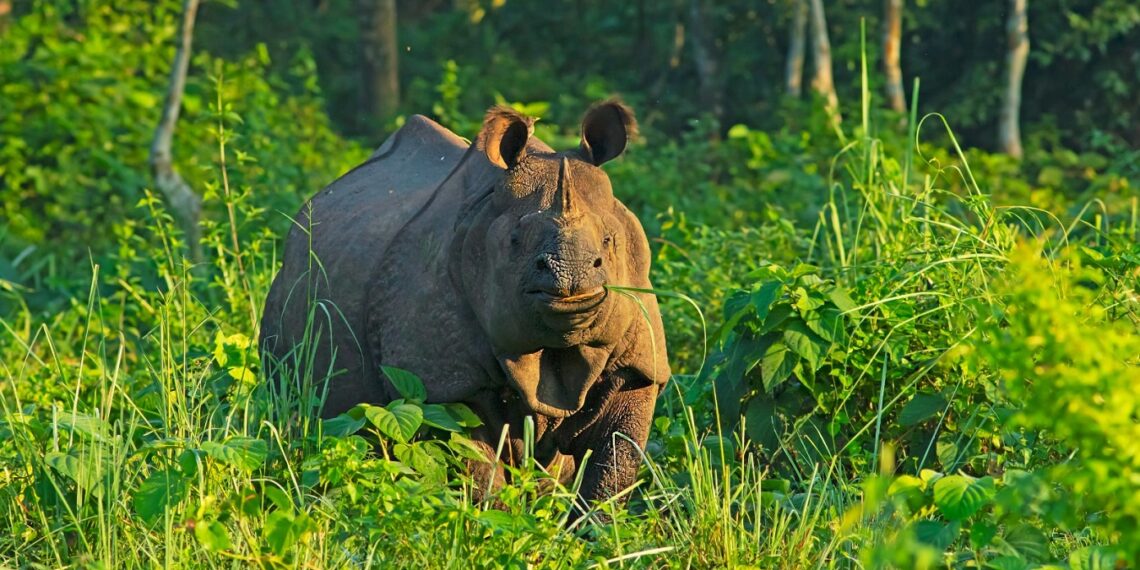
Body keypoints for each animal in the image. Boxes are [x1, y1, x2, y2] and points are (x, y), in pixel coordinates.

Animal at [260, 100, 669, 506]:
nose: (569, 272)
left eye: (608, 241)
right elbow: (477, 466)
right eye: (515, 241)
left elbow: (614, 464)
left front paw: (594, 525)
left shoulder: (638, 364)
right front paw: (494, 521)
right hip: (288, 283)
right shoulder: (442, 379)